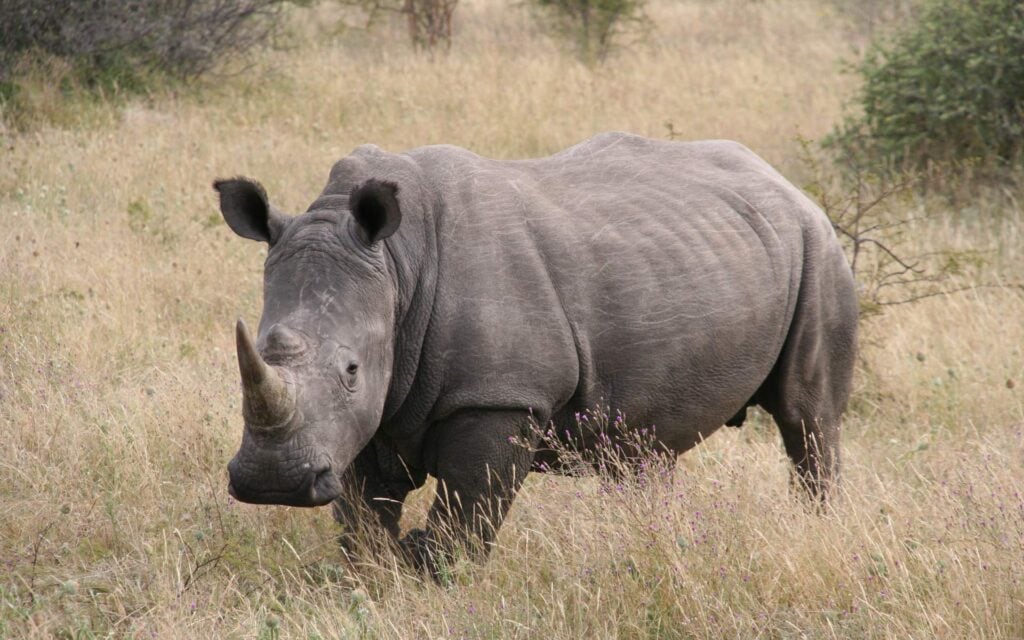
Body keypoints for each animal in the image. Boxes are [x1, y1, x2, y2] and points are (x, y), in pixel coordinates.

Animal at [215, 132, 857, 568]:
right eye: (261, 350)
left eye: (351, 369)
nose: (273, 483)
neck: (397, 267)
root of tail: (786, 183)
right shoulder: (366, 415)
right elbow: (364, 525)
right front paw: (376, 582)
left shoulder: (498, 397)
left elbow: (465, 520)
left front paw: (436, 579)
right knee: (644, 450)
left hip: (819, 250)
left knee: (808, 420)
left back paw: (815, 531)